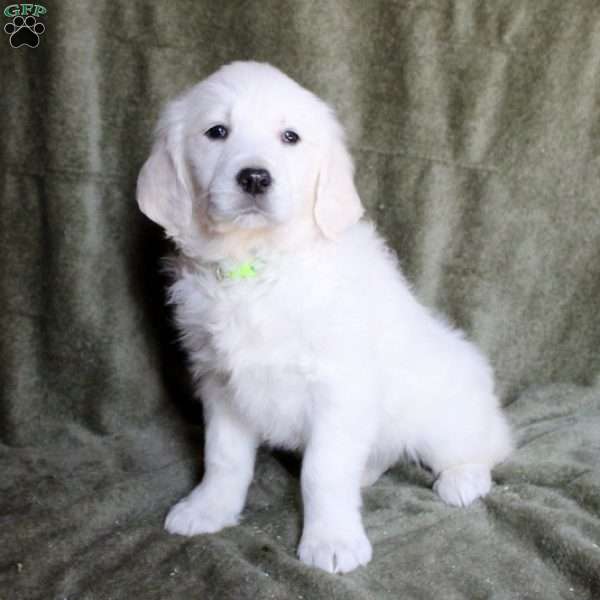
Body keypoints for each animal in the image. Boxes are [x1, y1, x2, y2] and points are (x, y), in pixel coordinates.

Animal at [136, 62, 510, 576]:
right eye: (217, 132)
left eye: (290, 137)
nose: (255, 177)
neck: (257, 267)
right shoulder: (221, 384)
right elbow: (223, 457)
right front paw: (208, 508)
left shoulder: (338, 387)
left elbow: (322, 471)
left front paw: (331, 541)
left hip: (443, 417)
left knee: (485, 446)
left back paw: (462, 480)